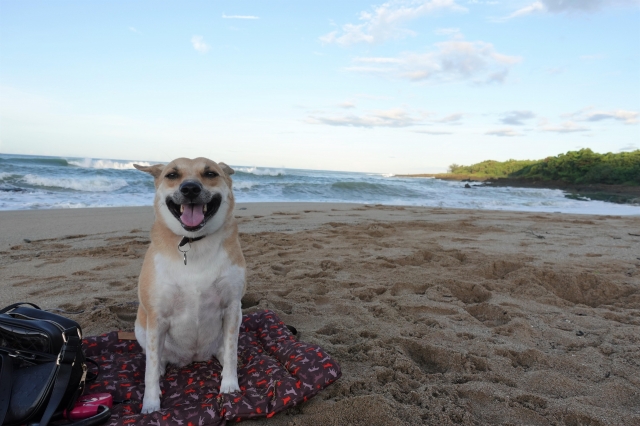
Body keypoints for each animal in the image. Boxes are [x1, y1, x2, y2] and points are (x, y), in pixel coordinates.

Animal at [134, 156, 246, 412]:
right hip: (140, 325)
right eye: (172, 175)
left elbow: (232, 351)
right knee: (156, 357)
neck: (193, 242)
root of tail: (192, 358)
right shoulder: (156, 316)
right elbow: (150, 368)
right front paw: (151, 404)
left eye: (211, 173)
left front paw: (229, 385)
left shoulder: (232, 307)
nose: (190, 188)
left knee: (224, 349)